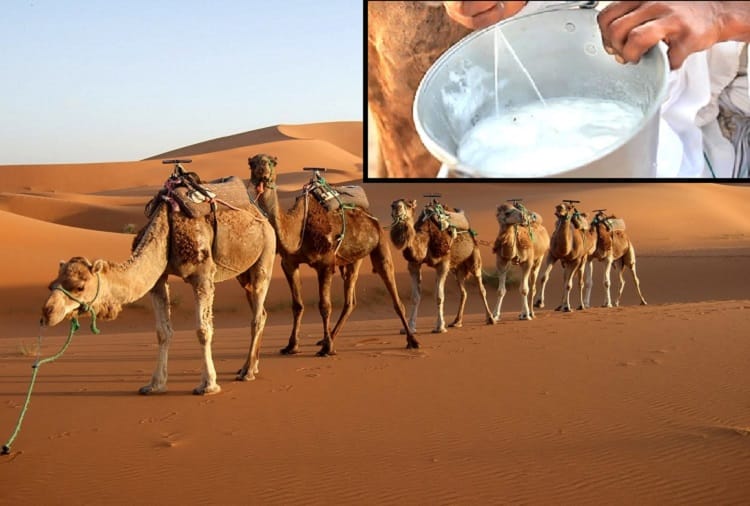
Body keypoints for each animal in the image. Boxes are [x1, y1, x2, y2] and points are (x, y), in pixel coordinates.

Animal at [41, 187, 276, 395]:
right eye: (52, 285)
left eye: (79, 287)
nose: (47, 312)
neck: (166, 229)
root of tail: (263, 217)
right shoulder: (158, 280)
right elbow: (163, 332)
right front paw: (155, 385)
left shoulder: (202, 276)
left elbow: (203, 330)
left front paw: (208, 385)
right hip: (243, 274)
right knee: (262, 312)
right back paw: (250, 366)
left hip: (265, 255)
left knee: (257, 314)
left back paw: (247, 372)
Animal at [248, 154, 419, 356]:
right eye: (251, 163)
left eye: (272, 162)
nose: (262, 171)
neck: (297, 227)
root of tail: (371, 216)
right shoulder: (289, 263)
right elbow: (297, 305)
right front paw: (291, 346)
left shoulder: (326, 264)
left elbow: (325, 306)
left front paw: (327, 349)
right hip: (353, 260)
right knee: (350, 301)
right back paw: (327, 338)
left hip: (381, 247)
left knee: (394, 296)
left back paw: (412, 340)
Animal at [389, 198, 495, 333]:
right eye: (392, 205)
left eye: (408, 205)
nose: (397, 208)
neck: (426, 239)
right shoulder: (413, 264)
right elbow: (415, 297)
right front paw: (410, 327)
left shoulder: (443, 264)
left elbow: (439, 296)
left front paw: (439, 326)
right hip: (457, 268)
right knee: (463, 292)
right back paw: (456, 321)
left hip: (474, 258)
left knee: (481, 289)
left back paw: (491, 318)